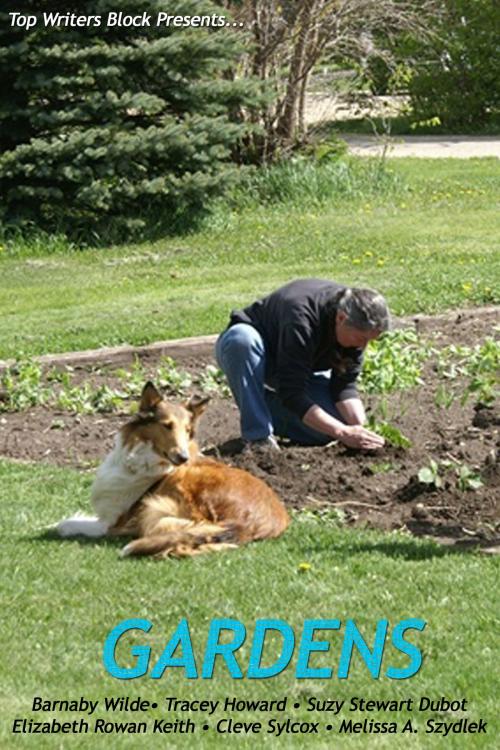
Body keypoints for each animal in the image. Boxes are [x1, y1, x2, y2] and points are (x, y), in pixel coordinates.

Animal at [55, 382, 290, 560]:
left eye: (187, 430)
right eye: (167, 425)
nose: (183, 458)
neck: (144, 458)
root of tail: (248, 523)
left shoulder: (115, 521)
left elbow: (65, 524)